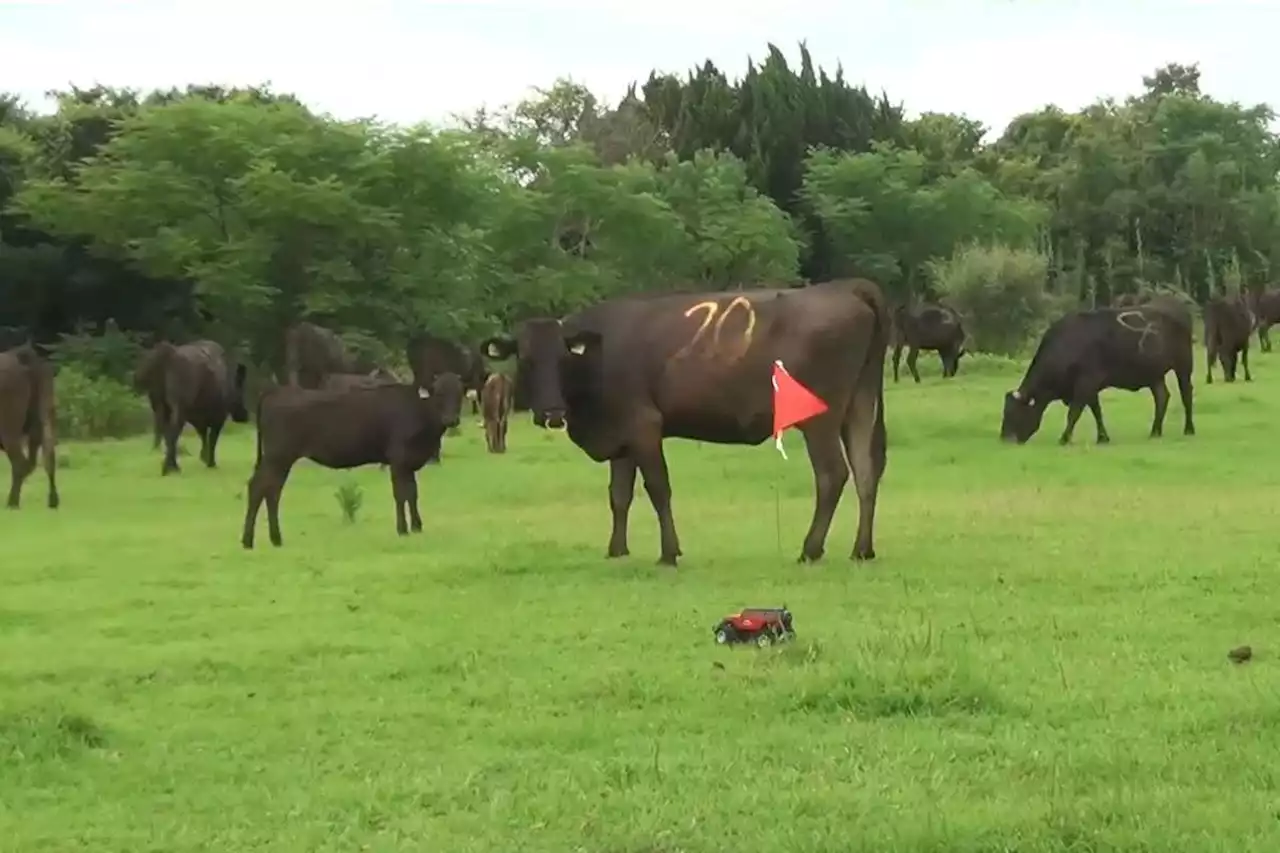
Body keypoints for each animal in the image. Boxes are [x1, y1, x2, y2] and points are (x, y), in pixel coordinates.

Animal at [0, 343, 59, 507]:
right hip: (44, 412)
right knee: (46, 453)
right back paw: (53, 500)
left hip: (8, 426)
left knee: (21, 462)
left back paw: (12, 502)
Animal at [133, 338, 248, 471]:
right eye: (241, 390)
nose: (244, 415)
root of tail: (166, 354)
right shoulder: (219, 416)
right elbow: (212, 438)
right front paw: (211, 462)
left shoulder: (196, 417)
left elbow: (203, 434)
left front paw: (204, 457)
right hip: (179, 405)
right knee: (173, 431)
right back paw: (170, 467)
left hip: (159, 404)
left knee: (164, 430)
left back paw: (171, 465)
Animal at [240, 373, 465, 548]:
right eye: (439, 393)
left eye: (460, 394)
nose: (451, 420)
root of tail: (277, 392)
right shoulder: (398, 459)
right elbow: (401, 494)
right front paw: (402, 530)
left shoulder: (408, 462)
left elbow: (413, 493)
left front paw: (417, 527)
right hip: (278, 455)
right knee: (259, 487)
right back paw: (249, 541)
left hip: (279, 458)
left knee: (271, 490)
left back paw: (274, 539)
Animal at [481, 279, 890, 563]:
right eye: (526, 360)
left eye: (563, 358)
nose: (552, 413)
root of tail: (845, 286)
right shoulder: (621, 436)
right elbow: (619, 495)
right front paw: (617, 549)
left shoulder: (644, 425)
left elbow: (658, 488)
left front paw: (669, 552)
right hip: (859, 404)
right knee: (866, 472)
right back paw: (862, 549)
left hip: (820, 418)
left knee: (833, 474)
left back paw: (811, 548)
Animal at [993, 302, 1192, 440]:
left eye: (1014, 413)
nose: (1005, 438)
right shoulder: (1089, 387)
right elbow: (1096, 411)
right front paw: (1103, 438)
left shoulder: (1086, 383)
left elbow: (1074, 412)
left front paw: (1064, 438)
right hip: (1153, 374)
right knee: (1162, 397)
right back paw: (1155, 432)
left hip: (1184, 366)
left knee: (1186, 395)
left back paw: (1189, 429)